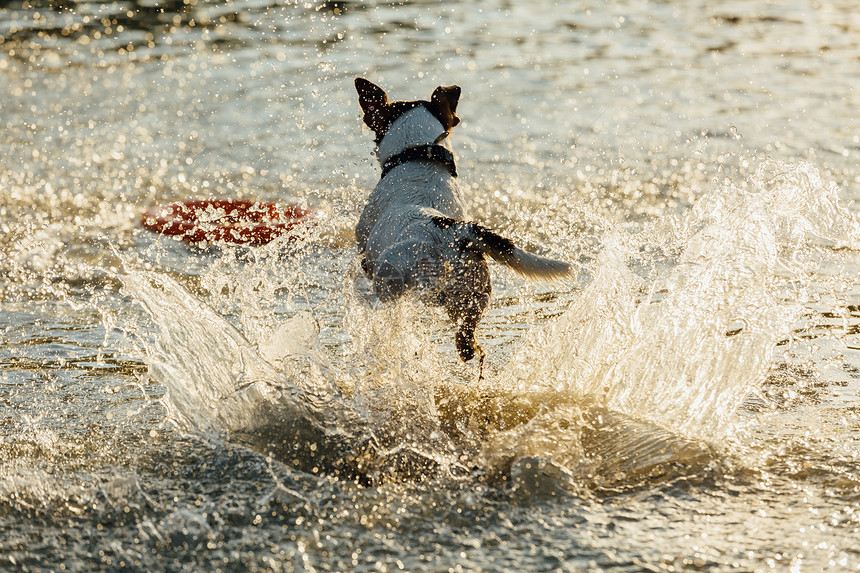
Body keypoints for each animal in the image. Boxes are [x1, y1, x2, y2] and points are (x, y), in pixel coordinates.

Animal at [352, 77, 568, 362]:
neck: (421, 158)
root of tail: (455, 233)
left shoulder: (365, 245)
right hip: (475, 294)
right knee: (466, 337)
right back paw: (473, 351)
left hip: (393, 272)